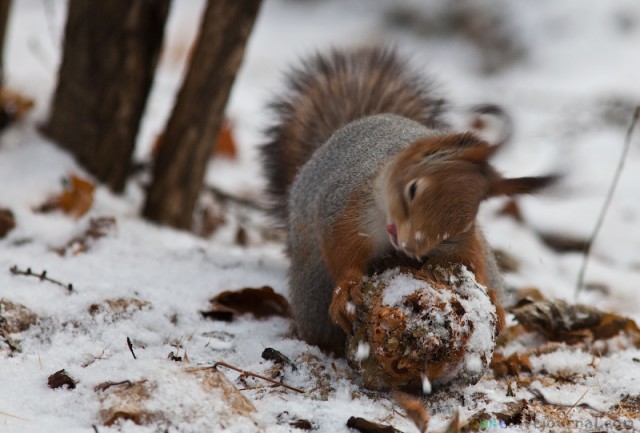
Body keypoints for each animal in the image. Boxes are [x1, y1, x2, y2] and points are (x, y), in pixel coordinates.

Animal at [260, 47, 556, 352]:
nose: (411, 247)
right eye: (413, 189)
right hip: (312, 288)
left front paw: (491, 302)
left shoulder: (461, 241)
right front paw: (347, 290)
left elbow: (470, 256)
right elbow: (341, 250)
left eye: (464, 223)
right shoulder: (344, 209)